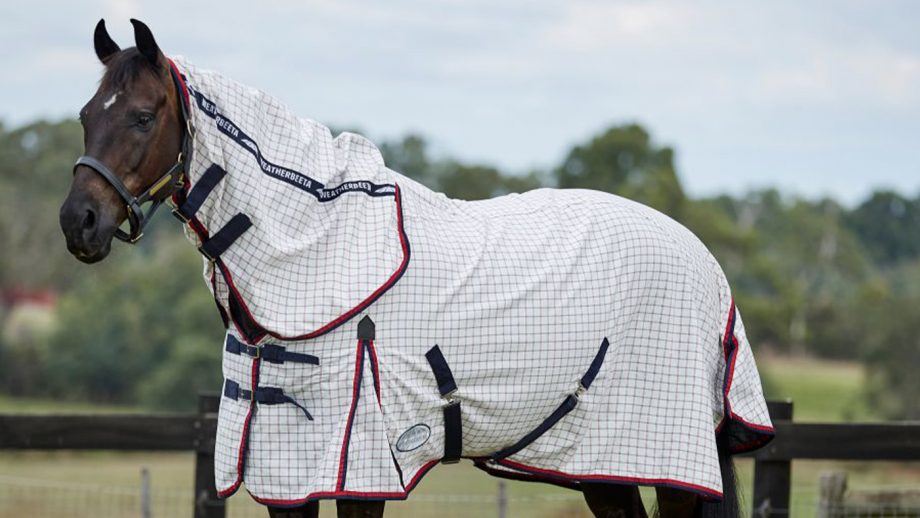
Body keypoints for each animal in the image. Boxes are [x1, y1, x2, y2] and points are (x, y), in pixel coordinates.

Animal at [59, 19, 774, 518]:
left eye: (142, 116)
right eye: (87, 115)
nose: (78, 223)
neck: (320, 249)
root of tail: (707, 264)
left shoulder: (357, 465)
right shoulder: (282, 468)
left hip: (666, 458)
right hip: (595, 463)